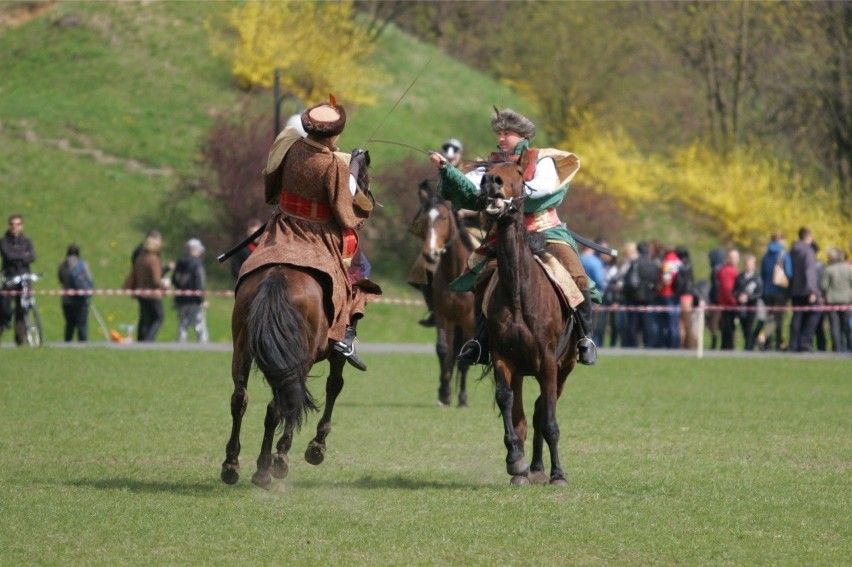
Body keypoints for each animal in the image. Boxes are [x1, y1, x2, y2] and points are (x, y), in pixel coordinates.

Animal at [221, 264, 352, 490]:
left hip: (242, 344)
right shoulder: (335, 354)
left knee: (239, 399)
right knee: (282, 403)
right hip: (302, 355)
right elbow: (334, 385)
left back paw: (231, 465)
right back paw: (265, 468)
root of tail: (278, 276)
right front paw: (314, 447)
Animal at [422, 196, 480, 408]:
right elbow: (443, 351)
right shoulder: (443, 317)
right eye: (426, 219)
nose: (430, 254)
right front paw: (445, 393)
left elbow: (465, 356)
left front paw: (462, 398)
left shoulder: (469, 321)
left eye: (444, 218)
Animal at [480, 151, 580, 488]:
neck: (519, 295)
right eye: (487, 170)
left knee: (541, 412)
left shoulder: (548, 362)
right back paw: (529, 468)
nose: (491, 182)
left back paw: (541, 468)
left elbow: (548, 419)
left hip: (564, 368)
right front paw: (515, 461)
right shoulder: (503, 359)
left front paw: (558, 474)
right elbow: (507, 403)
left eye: (518, 174)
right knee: (525, 414)